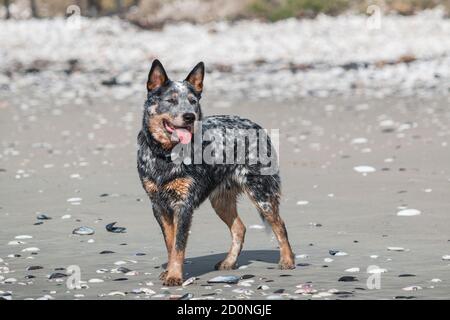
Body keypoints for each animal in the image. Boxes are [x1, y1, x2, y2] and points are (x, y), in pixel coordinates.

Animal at [137, 59, 296, 284]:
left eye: (193, 101)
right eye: (171, 100)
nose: (190, 116)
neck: (165, 155)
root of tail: (256, 125)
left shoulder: (184, 205)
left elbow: (178, 245)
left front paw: (175, 275)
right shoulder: (158, 205)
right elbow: (170, 242)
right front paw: (169, 271)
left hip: (261, 193)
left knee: (279, 224)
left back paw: (287, 260)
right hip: (220, 200)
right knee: (239, 228)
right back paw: (229, 262)